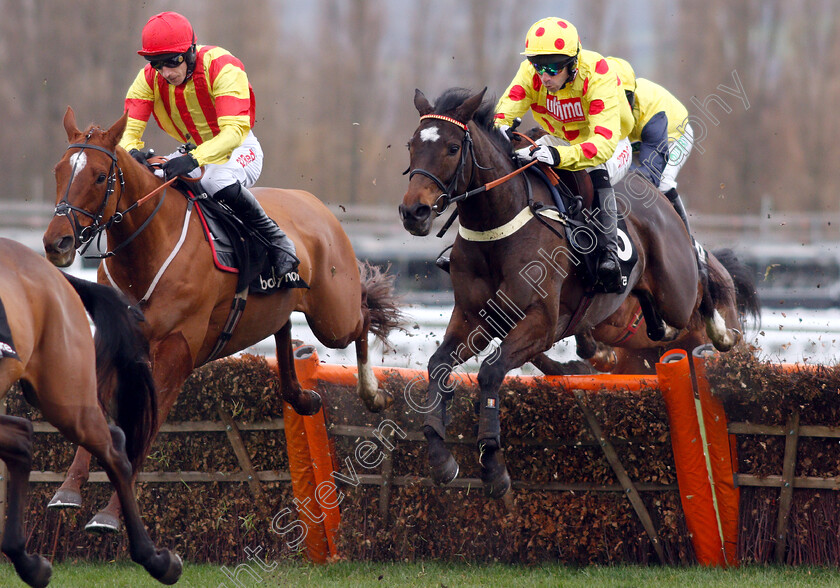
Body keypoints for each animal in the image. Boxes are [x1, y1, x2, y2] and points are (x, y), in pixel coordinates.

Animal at [0, 238, 180, 584]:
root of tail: (55, 273)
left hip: (63, 393)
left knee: (114, 451)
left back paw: (156, 560)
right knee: (21, 437)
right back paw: (28, 562)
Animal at [42, 107, 404, 532]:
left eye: (100, 176)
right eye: (58, 170)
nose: (56, 243)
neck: (150, 250)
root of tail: (315, 205)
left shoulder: (178, 352)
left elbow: (147, 424)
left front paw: (110, 514)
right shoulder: (116, 342)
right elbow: (94, 410)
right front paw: (67, 490)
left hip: (334, 317)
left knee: (362, 319)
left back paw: (372, 393)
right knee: (285, 330)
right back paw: (302, 396)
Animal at [398, 87, 744, 498]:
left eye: (452, 148)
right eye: (411, 145)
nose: (414, 212)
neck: (500, 225)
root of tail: (654, 195)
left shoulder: (542, 322)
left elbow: (491, 372)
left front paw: (494, 465)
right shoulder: (472, 318)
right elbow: (438, 366)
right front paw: (440, 455)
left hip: (677, 290)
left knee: (698, 289)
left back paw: (720, 331)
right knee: (655, 321)